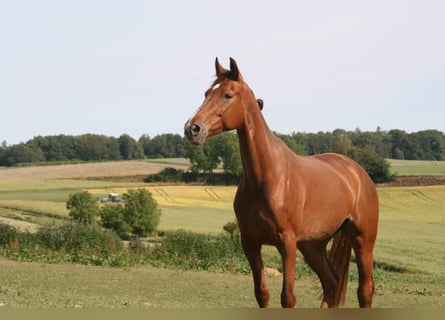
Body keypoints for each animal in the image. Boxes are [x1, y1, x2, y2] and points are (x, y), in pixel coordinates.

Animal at [184, 57, 378, 308]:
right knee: (332, 283)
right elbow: (262, 293)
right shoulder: (250, 243)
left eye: (227, 95)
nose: (192, 128)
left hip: (362, 240)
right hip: (313, 246)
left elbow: (288, 297)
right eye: (206, 93)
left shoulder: (287, 243)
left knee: (365, 290)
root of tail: (358, 173)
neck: (268, 178)